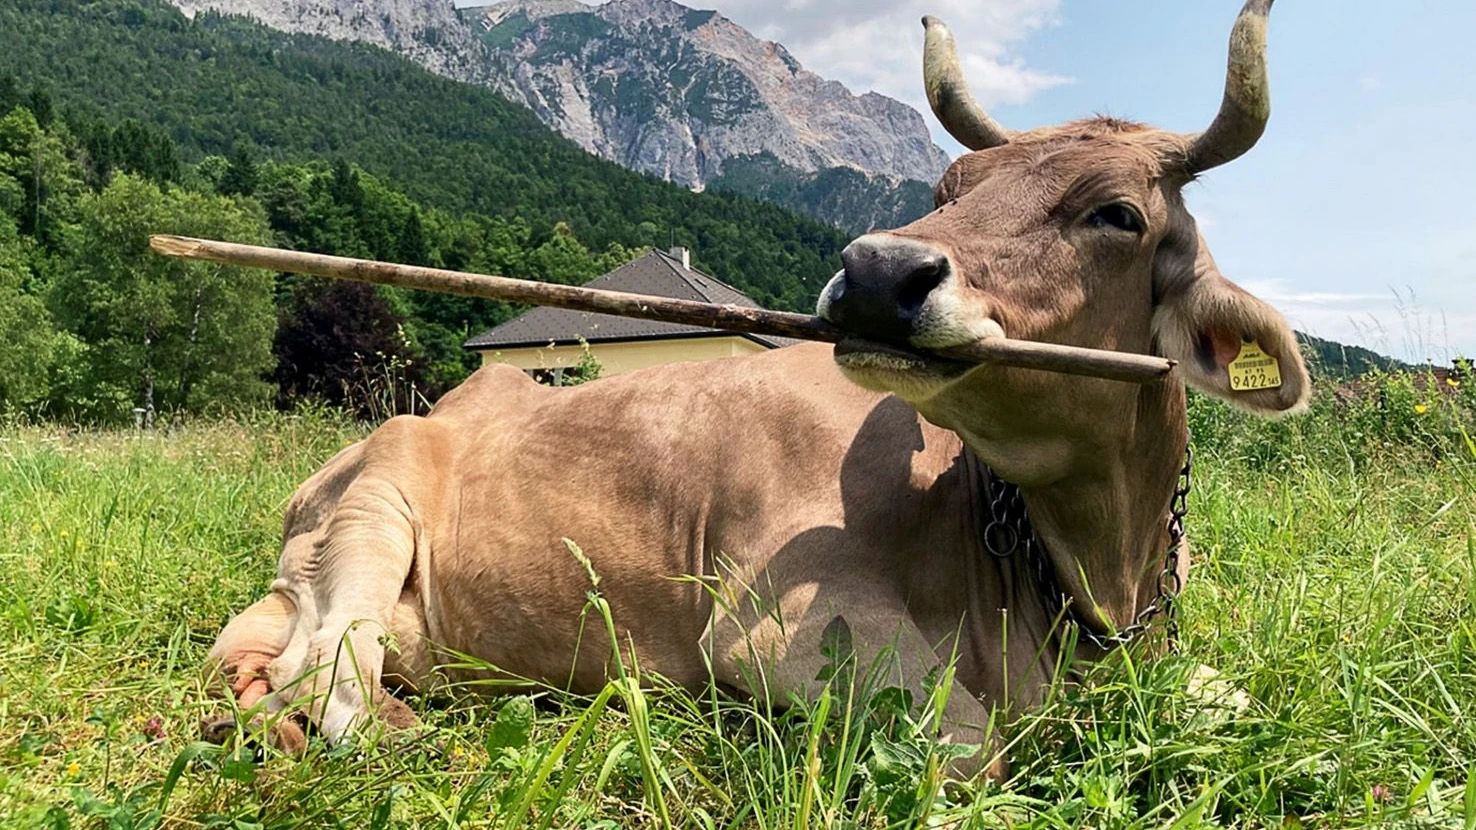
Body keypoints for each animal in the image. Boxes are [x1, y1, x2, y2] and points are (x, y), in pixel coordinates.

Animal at [204, 0, 1307, 779]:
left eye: (1118, 214)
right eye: (949, 190)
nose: (876, 271)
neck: (1088, 576)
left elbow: (1243, 704)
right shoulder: (782, 626)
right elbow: (972, 747)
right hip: (379, 499)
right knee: (327, 675)